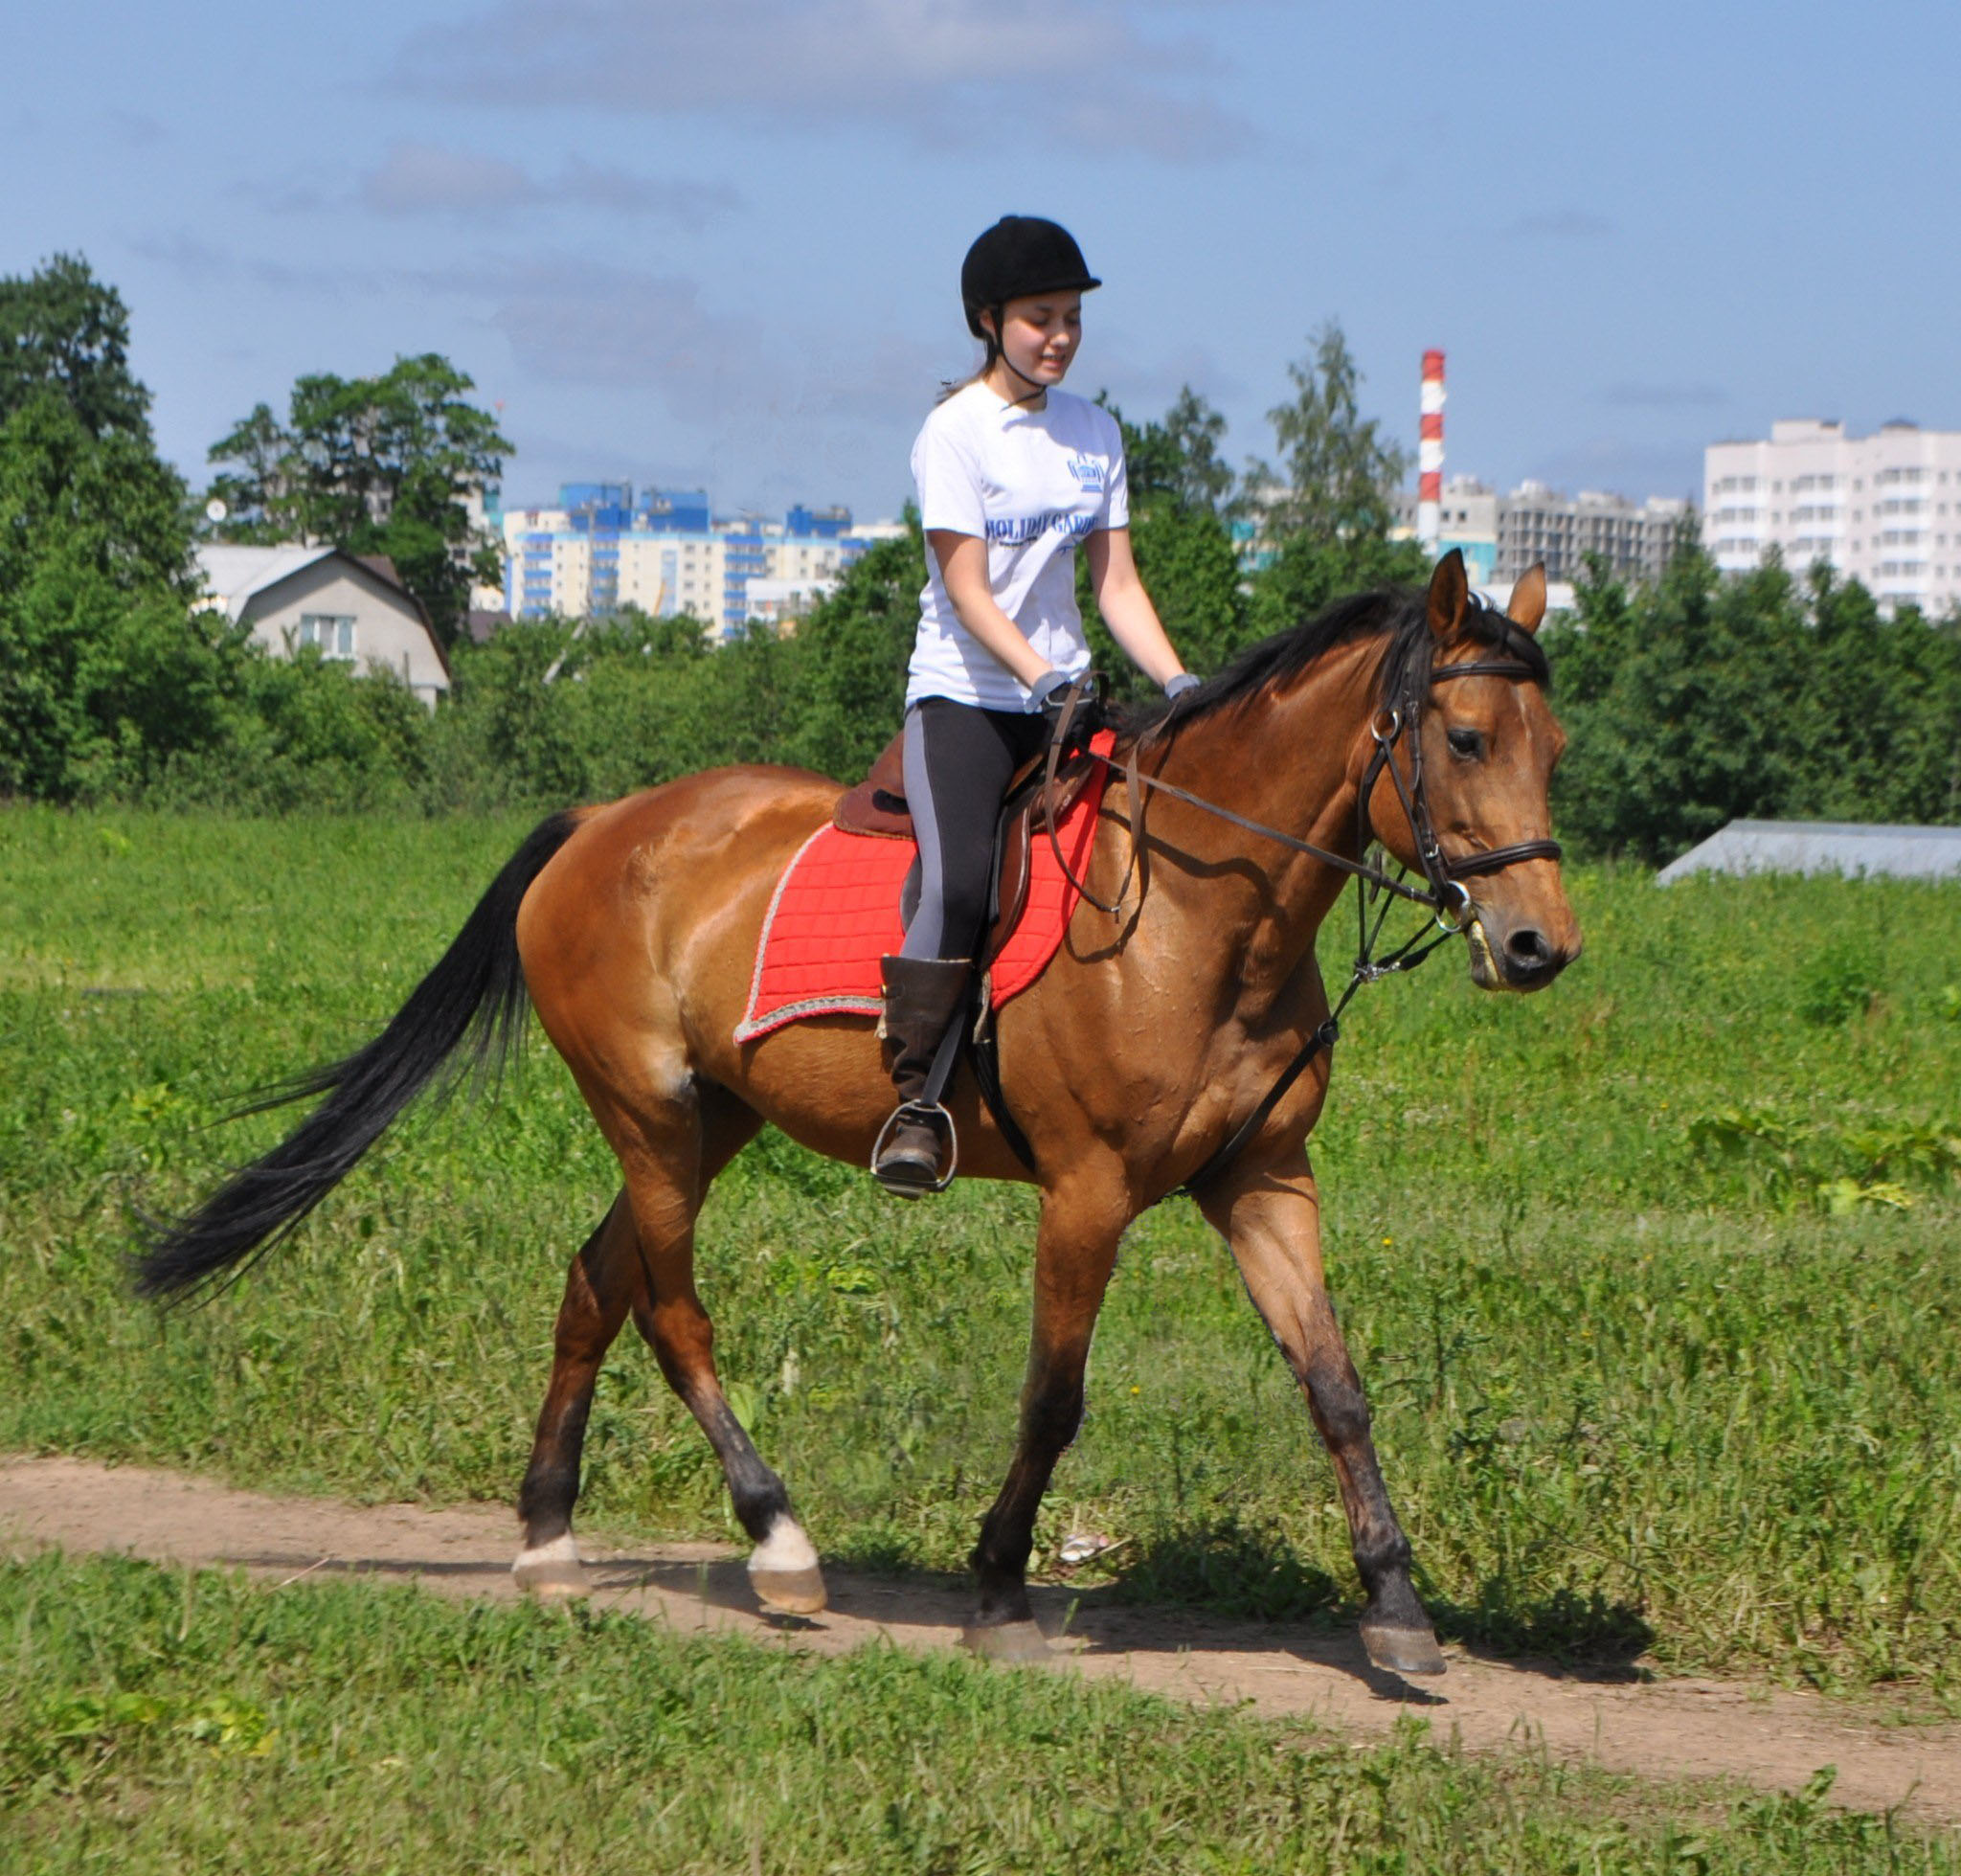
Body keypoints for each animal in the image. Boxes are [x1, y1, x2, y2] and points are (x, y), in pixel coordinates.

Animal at [138, 549, 1576, 1678]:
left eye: (1552, 750)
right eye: (1462, 740)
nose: (1536, 945)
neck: (1192, 913)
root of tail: (603, 821)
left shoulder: (1264, 1177)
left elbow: (1335, 1385)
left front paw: (1396, 1606)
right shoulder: (1087, 1190)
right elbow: (1053, 1398)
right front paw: (997, 1587)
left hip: (711, 1115)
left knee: (594, 1282)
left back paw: (548, 1536)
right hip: (648, 1111)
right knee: (669, 1307)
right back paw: (776, 1541)